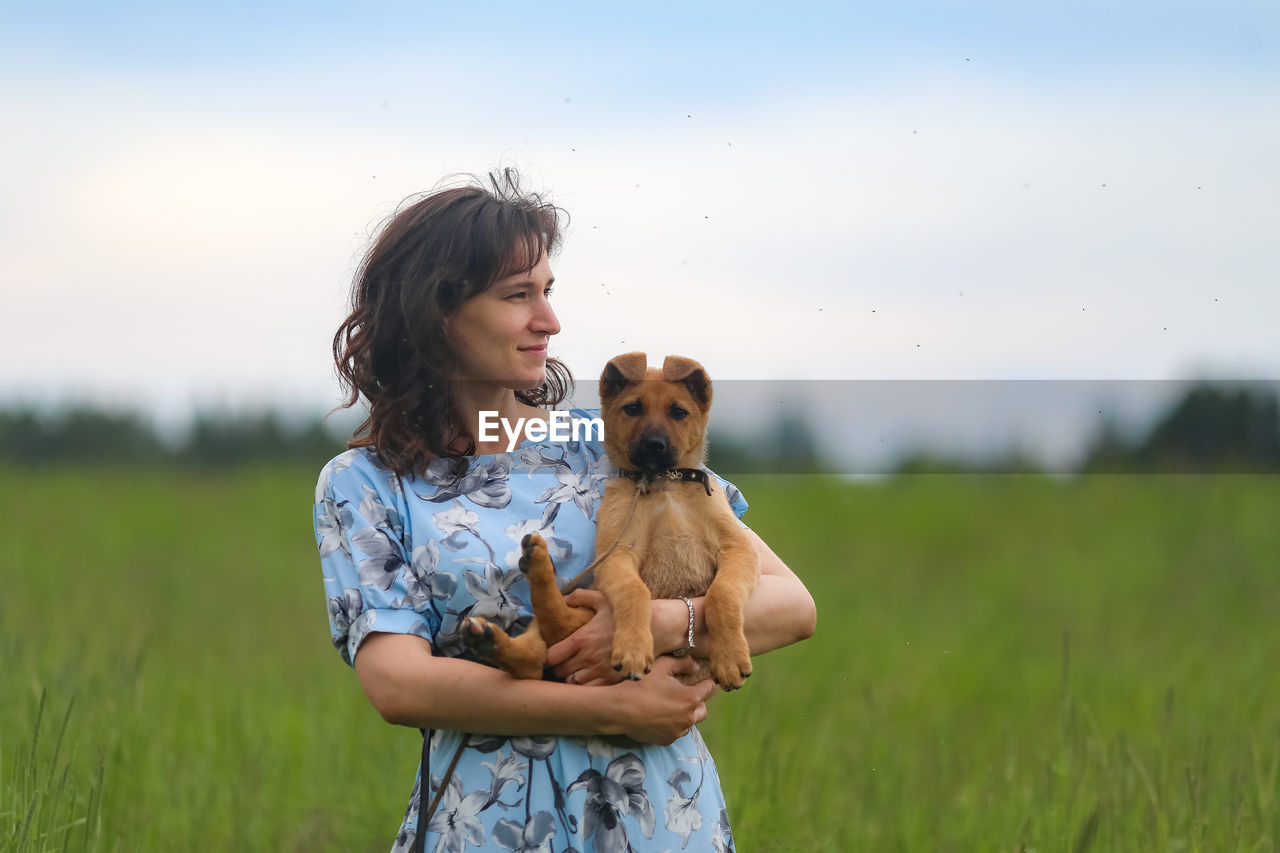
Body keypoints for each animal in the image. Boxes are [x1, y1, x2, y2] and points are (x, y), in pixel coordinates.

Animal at [460, 350, 757, 691]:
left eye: (679, 412)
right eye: (633, 408)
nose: (654, 444)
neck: (663, 484)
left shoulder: (738, 550)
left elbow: (723, 594)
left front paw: (731, 656)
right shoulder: (617, 553)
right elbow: (634, 592)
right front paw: (633, 649)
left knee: (539, 654)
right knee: (546, 643)